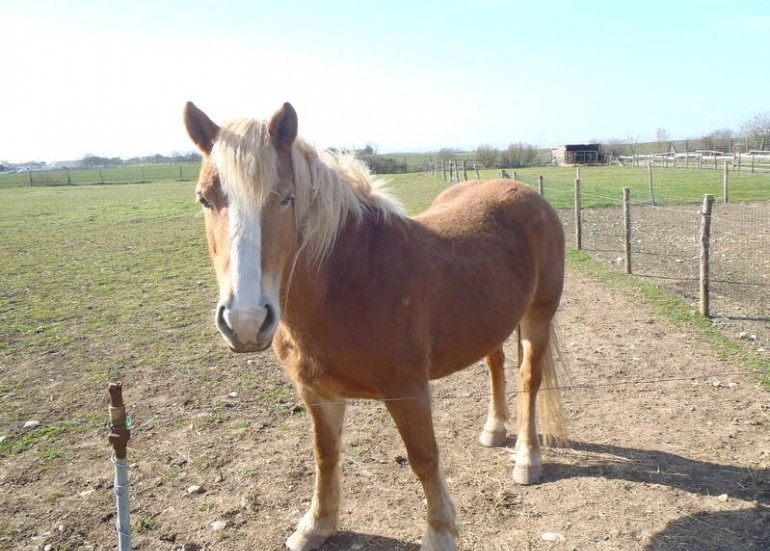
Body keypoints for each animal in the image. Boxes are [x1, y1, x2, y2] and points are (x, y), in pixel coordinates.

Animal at [180, 100, 564, 551]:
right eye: (204, 199)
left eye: (286, 199)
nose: (245, 320)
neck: (349, 280)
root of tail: (527, 195)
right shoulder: (317, 392)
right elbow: (325, 455)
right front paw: (316, 525)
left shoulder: (407, 388)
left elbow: (424, 457)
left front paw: (440, 532)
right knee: (496, 365)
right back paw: (494, 429)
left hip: (538, 316)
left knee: (529, 379)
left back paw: (526, 459)